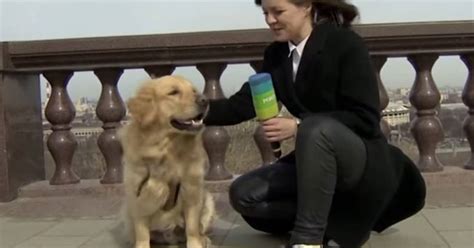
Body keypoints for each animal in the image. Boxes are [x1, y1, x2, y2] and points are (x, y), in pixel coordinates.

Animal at [118, 75, 215, 248]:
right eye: (173, 92)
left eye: (193, 90)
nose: (205, 100)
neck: (167, 149)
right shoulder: (139, 197)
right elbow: (142, 234)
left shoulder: (192, 190)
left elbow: (192, 228)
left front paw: (195, 243)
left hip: (207, 199)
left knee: (198, 228)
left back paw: (203, 239)